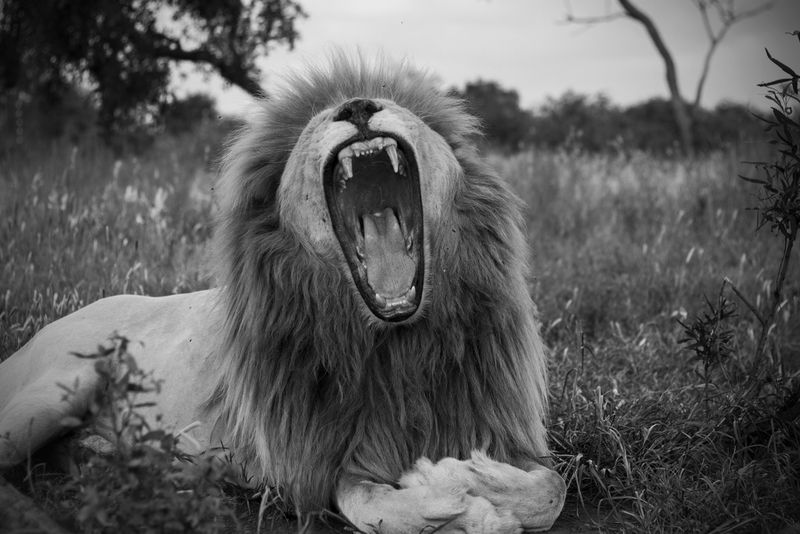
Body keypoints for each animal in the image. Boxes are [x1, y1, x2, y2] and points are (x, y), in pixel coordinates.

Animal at [0, 55, 566, 532]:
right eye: (318, 124)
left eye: (401, 111)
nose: (357, 107)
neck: (398, 343)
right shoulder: (317, 467)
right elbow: (382, 510)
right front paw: (457, 497)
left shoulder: (501, 426)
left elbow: (551, 488)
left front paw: (481, 481)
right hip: (56, 390)